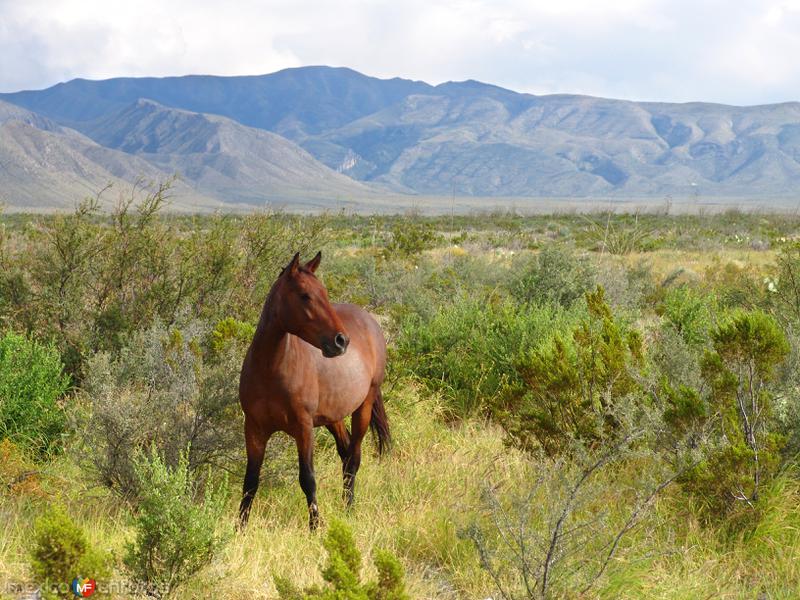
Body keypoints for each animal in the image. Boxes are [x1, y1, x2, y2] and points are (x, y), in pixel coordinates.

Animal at [236, 251, 390, 532]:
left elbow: (307, 478)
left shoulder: (303, 427)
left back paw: (349, 510)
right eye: (305, 295)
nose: (341, 341)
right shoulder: (254, 429)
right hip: (333, 417)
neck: (271, 369)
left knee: (354, 458)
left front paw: (315, 528)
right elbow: (250, 482)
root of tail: (370, 320)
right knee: (346, 453)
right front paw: (239, 530)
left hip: (363, 407)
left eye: (325, 293)